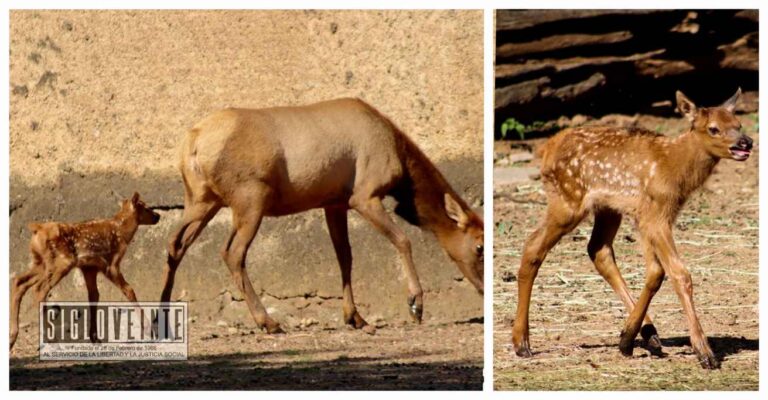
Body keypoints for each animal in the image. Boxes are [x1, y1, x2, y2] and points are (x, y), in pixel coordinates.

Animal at [10, 193, 161, 350]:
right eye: (145, 207)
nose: (158, 216)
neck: (122, 232)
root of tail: (37, 228)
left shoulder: (89, 268)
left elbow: (94, 296)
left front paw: (95, 338)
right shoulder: (111, 264)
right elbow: (129, 290)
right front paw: (149, 331)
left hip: (40, 262)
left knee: (19, 281)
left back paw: (12, 338)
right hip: (61, 262)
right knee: (40, 289)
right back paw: (51, 339)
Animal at [160, 97, 484, 335]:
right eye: (480, 245)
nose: (482, 287)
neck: (403, 169)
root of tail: (192, 143)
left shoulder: (334, 203)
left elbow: (345, 256)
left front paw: (356, 317)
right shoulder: (363, 195)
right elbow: (403, 240)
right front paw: (415, 304)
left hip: (202, 199)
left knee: (175, 244)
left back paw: (161, 316)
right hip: (250, 197)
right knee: (232, 252)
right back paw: (268, 321)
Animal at [511, 88, 752, 369]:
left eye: (738, 124)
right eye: (713, 128)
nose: (746, 143)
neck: (673, 167)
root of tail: (546, 148)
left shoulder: (650, 216)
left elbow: (656, 272)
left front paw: (627, 338)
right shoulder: (654, 216)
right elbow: (679, 274)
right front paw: (705, 353)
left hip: (607, 209)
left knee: (598, 250)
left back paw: (647, 334)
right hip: (567, 201)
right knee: (533, 246)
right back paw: (521, 343)